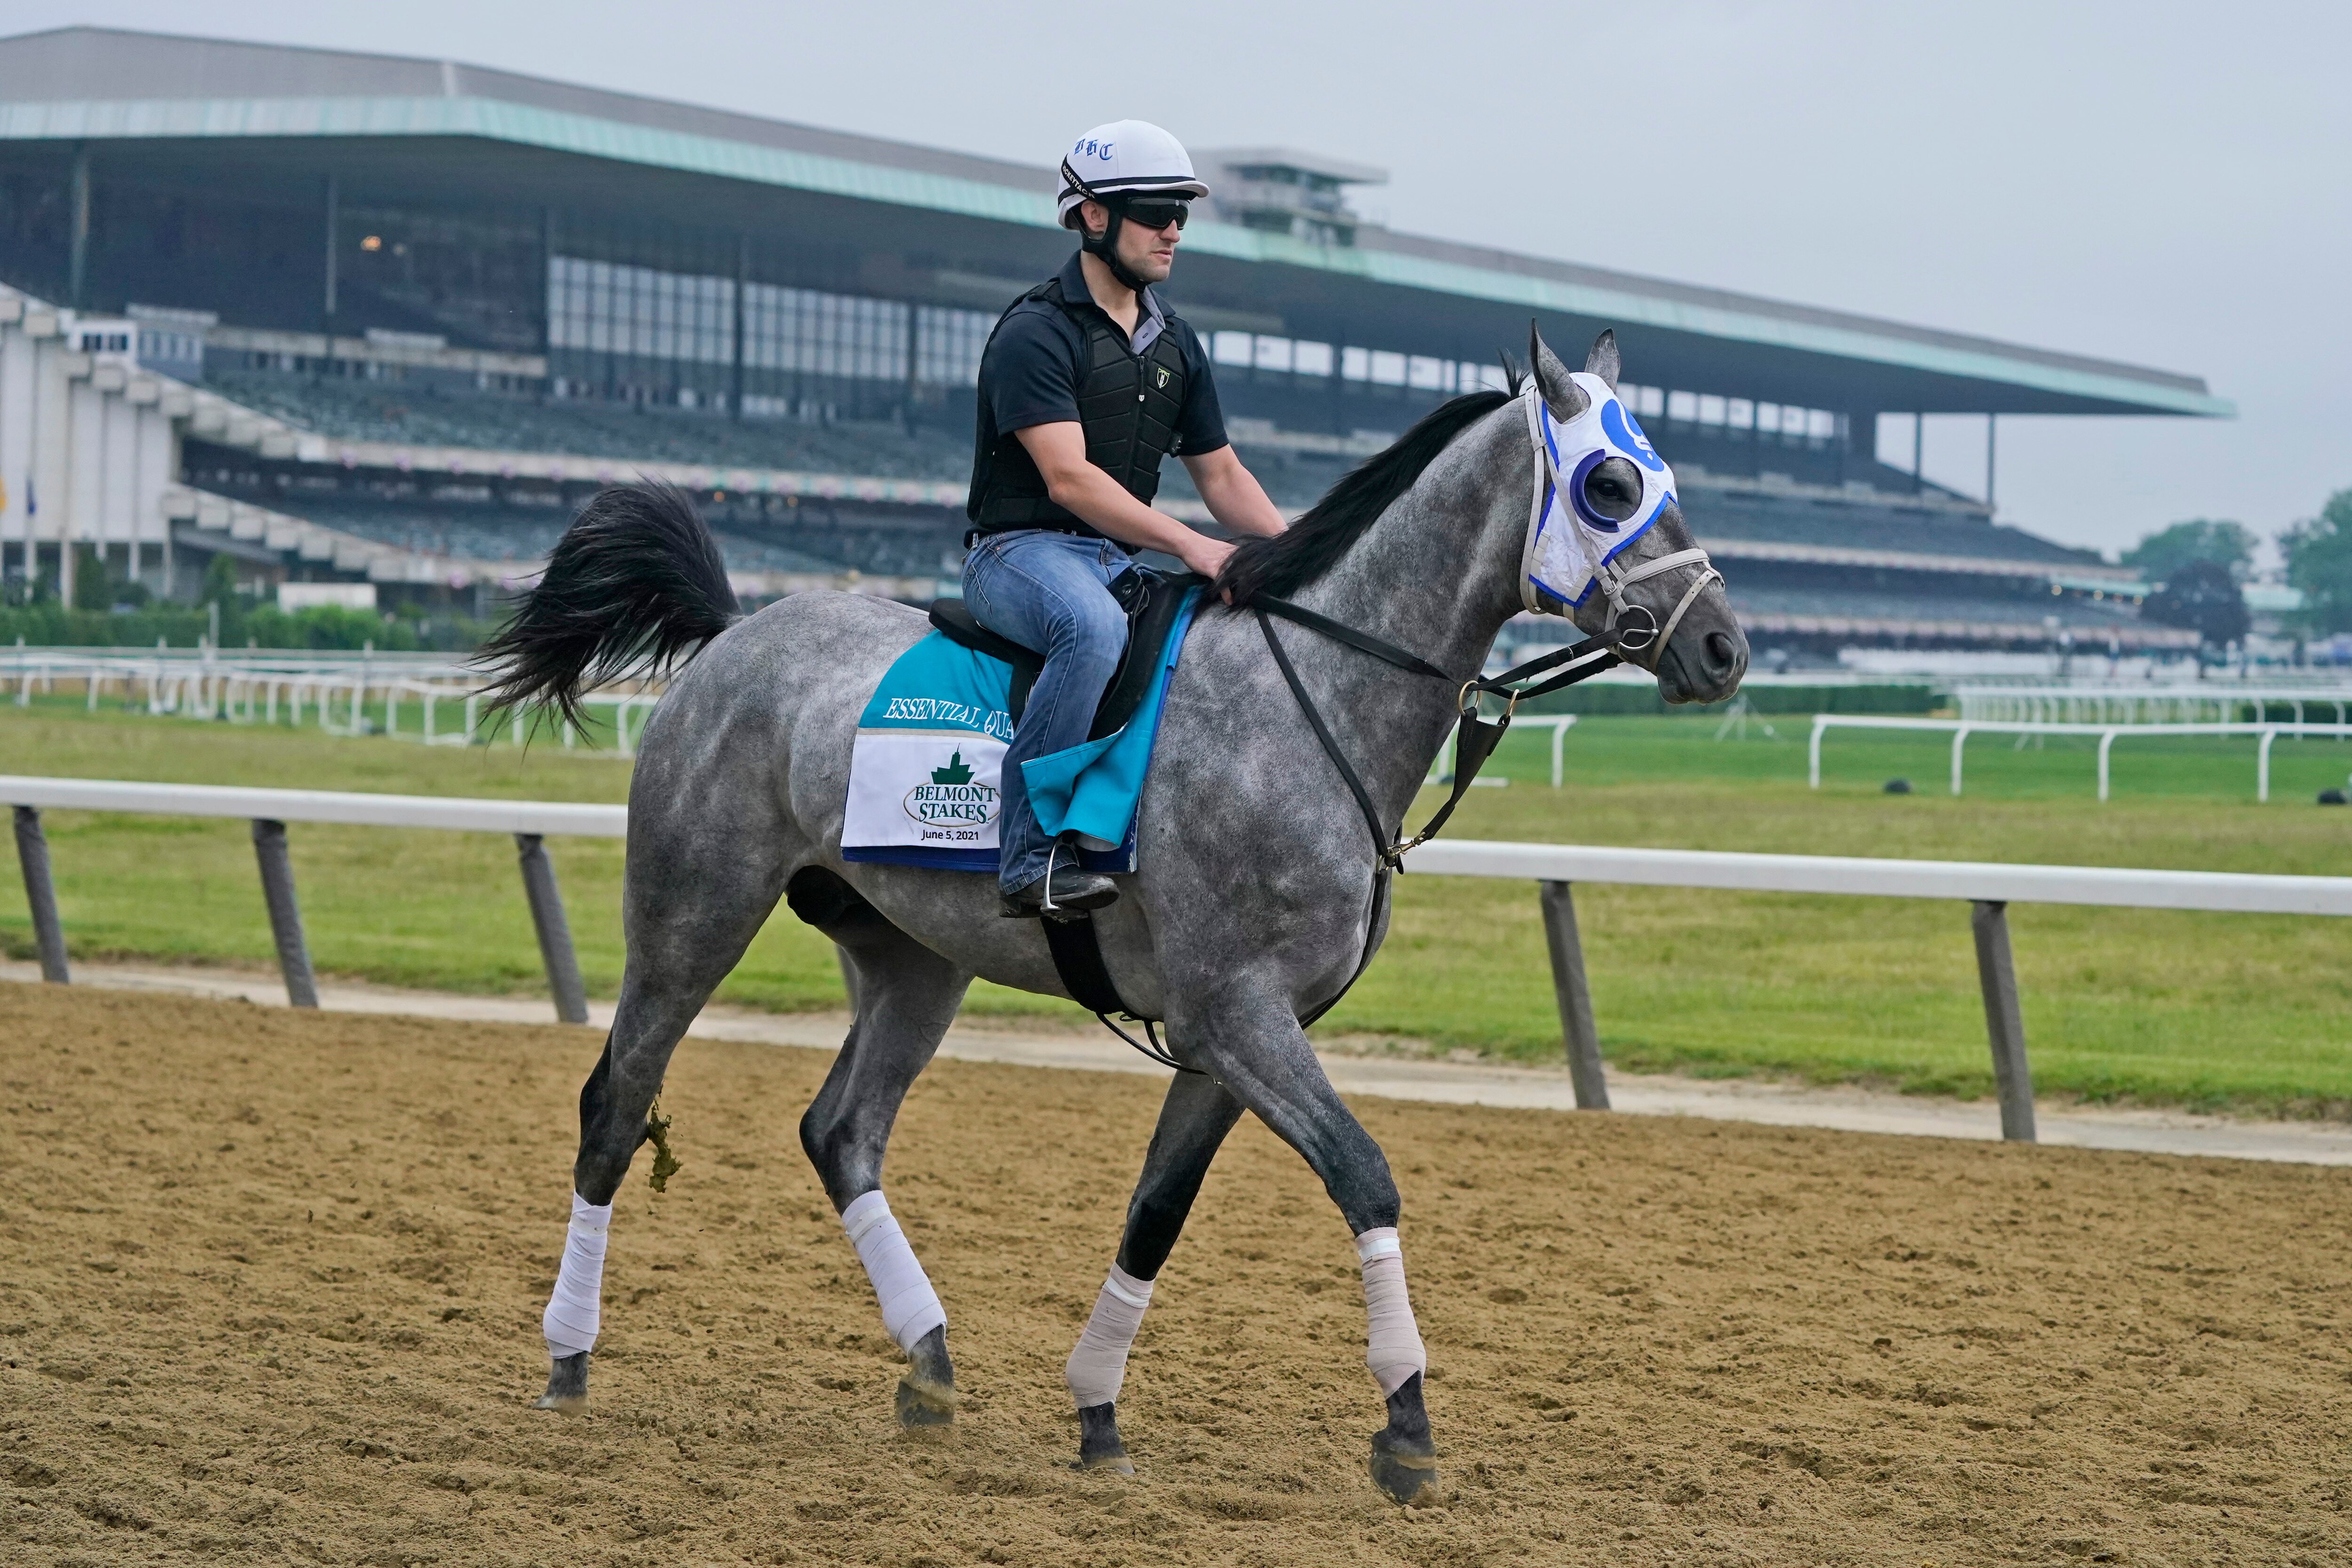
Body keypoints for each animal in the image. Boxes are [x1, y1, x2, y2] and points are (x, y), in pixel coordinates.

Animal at [485, 328, 1746, 1505]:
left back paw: (929, 1364)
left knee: (841, 1129)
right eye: (1609, 485)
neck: (1310, 705)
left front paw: (1096, 1411)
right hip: (692, 910)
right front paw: (1406, 1425)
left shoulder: (1230, 1036)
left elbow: (1156, 1210)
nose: (1723, 647)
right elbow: (1364, 1174)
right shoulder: (1235, 1014)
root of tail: (729, 633)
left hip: (915, 958)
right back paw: (568, 1359)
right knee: (617, 1101)